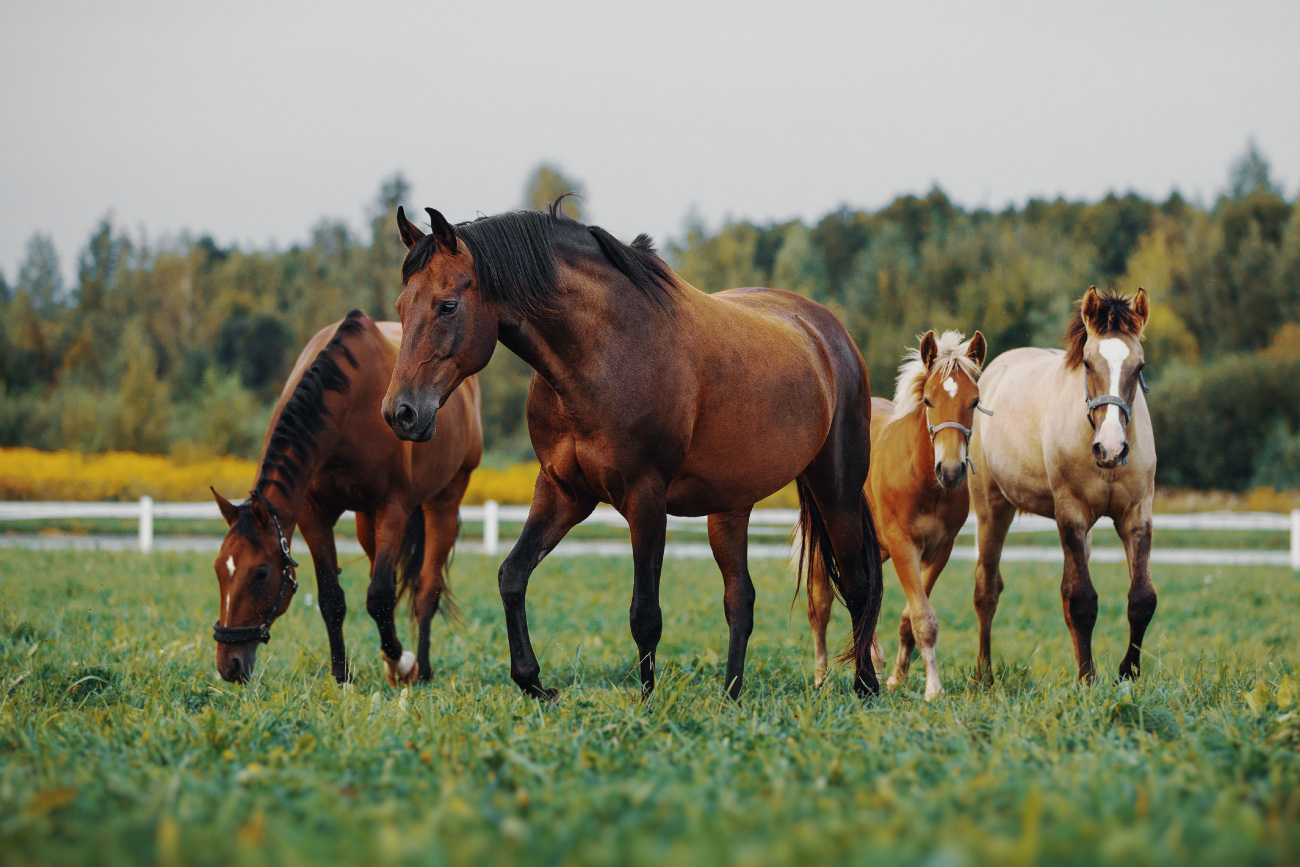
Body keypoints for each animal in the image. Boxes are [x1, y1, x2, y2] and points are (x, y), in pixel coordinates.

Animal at [210, 310, 480, 686]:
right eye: (219, 569)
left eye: (260, 573)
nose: (229, 666)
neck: (349, 402)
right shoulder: (313, 514)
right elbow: (332, 598)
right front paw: (342, 674)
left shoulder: (391, 508)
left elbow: (379, 597)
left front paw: (402, 663)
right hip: (366, 523)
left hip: (444, 500)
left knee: (426, 590)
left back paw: (421, 669)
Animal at [379, 205, 883, 707]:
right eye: (401, 307)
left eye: (447, 305)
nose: (400, 413)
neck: (603, 353)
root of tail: (826, 332)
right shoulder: (562, 492)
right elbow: (512, 575)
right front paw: (534, 683)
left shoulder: (645, 497)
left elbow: (645, 613)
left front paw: (646, 704)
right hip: (730, 507)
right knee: (740, 600)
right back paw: (731, 697)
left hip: (836, 490)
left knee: (859, 586)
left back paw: (866, 688)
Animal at [800, 328, 982, 701]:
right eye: (928, 400)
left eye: (974, 401)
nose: (951, 470)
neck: (925, 481)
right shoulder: (903, 545)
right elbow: (923, 617)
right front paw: (933, 689)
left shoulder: (940, 550)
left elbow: (909, 618)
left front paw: (899, 678)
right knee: (820, 604)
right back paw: (821, 677)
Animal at [967, 288, 1159, 681]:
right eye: (1087, 363)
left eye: (1139, 367)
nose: (1111, 448)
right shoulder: (1071, 515)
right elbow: (1080, 601)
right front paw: (1088, 679)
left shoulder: (1137, 516)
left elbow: (1141, 599)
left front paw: (1127, 673)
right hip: (992, 509)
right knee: (986, 590)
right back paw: (985, 674)